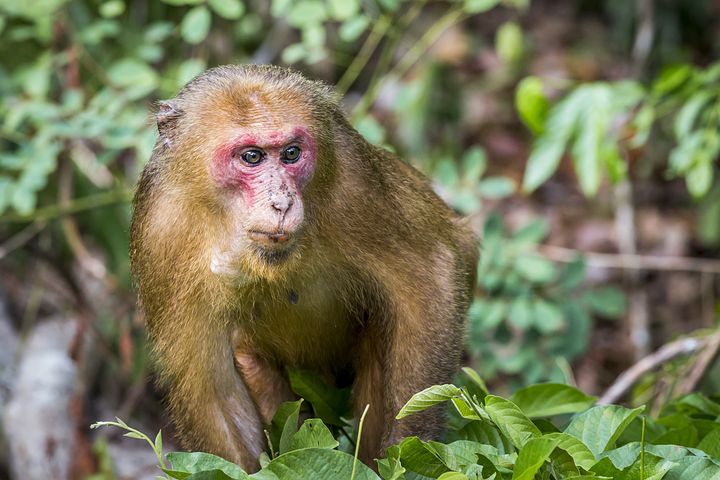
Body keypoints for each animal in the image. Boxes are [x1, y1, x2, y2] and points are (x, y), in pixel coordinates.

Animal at [130, 64, 478, 472]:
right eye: (252, 157)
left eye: (291, 153)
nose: (281, 202)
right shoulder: (160, 231)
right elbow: (210, 391)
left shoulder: (353, 179)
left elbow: (431, 271)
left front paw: (406, 455)